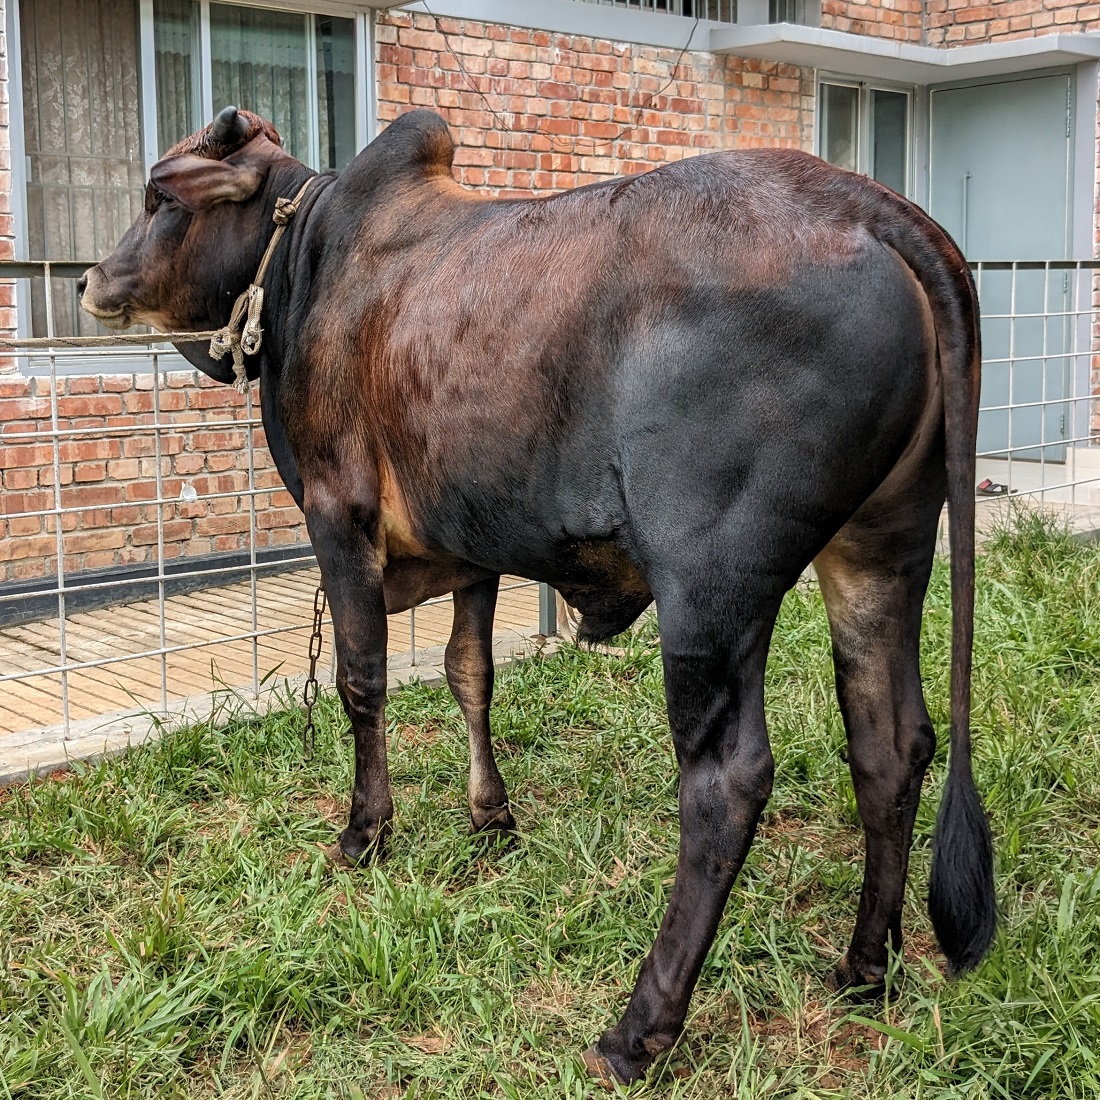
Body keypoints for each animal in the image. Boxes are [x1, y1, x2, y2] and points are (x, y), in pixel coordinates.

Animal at [79, 107, 998, 1086]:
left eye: (160, 197)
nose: (91, 279)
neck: (308, 264)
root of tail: (875, 208)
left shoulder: (339, 515)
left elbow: (363, 682)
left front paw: (366, 833)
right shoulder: (470, 543)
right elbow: (468, 673)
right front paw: (491, 817)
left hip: (712, 587)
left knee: (728, 780)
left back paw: (639, 1028)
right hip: (882, 549)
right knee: (891, 744)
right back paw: (866, 966)